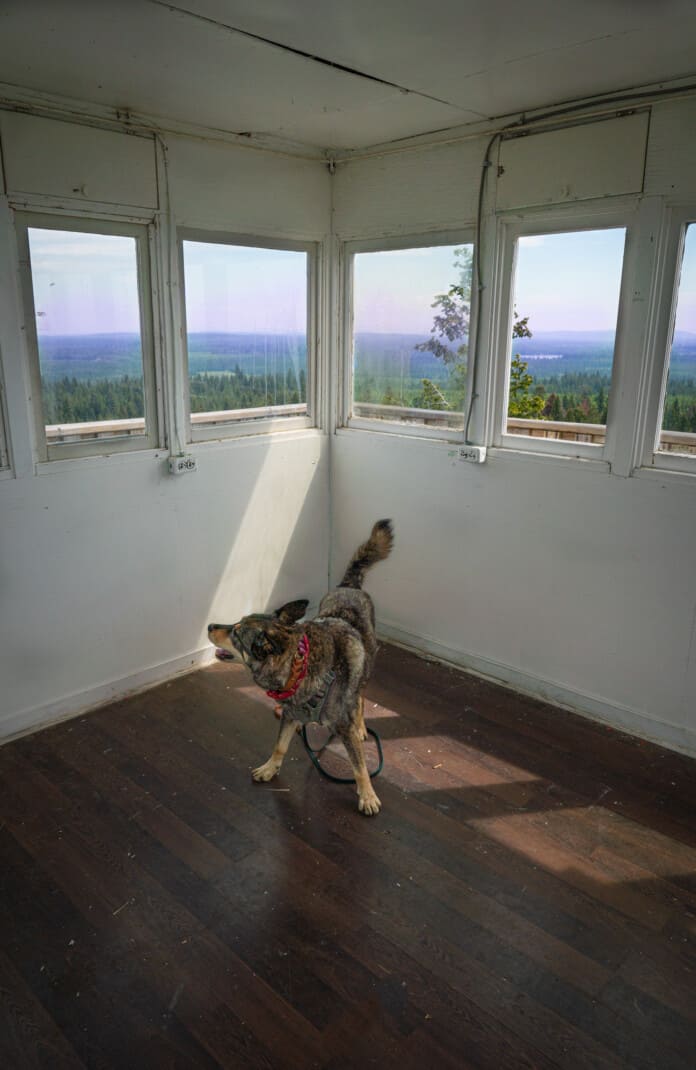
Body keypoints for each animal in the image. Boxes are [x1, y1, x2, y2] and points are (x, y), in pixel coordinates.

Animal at [205, 522, 389, 813]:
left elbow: (359, 766)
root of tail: (348, 586)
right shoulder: (290, 716)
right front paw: (270, 768)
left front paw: (367, 795)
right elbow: (280, 745)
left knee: (359, 695)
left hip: (366, 664)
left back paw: (361, 723)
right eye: (235, 623)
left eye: (235, 633)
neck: (299, 668)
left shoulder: (344, 727)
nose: (210, 625)